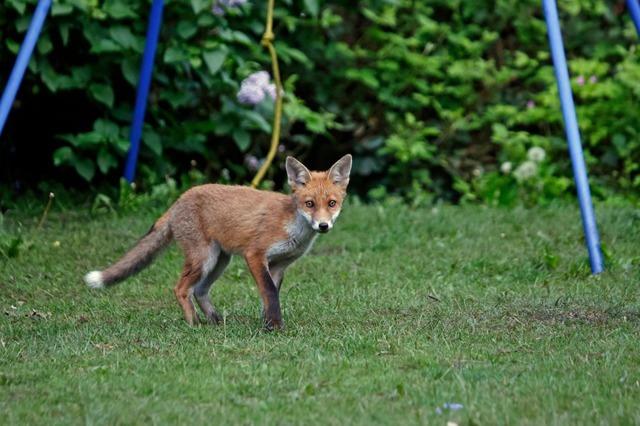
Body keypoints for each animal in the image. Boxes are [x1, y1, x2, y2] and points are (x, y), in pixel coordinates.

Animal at [83, 155, 352, 332]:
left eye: (331, 203)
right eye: (309, 204)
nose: (323, 226)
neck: (293, 227)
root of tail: (179, 200)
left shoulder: (278, 265)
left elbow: (270, 295)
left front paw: (267, 324)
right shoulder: (255, 255)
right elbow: (269, 292)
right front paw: (275, 327)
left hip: (220, 260)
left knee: (200, 290)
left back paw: (215, 320)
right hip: (205, 259)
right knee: (181, 289)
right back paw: (194, 324)